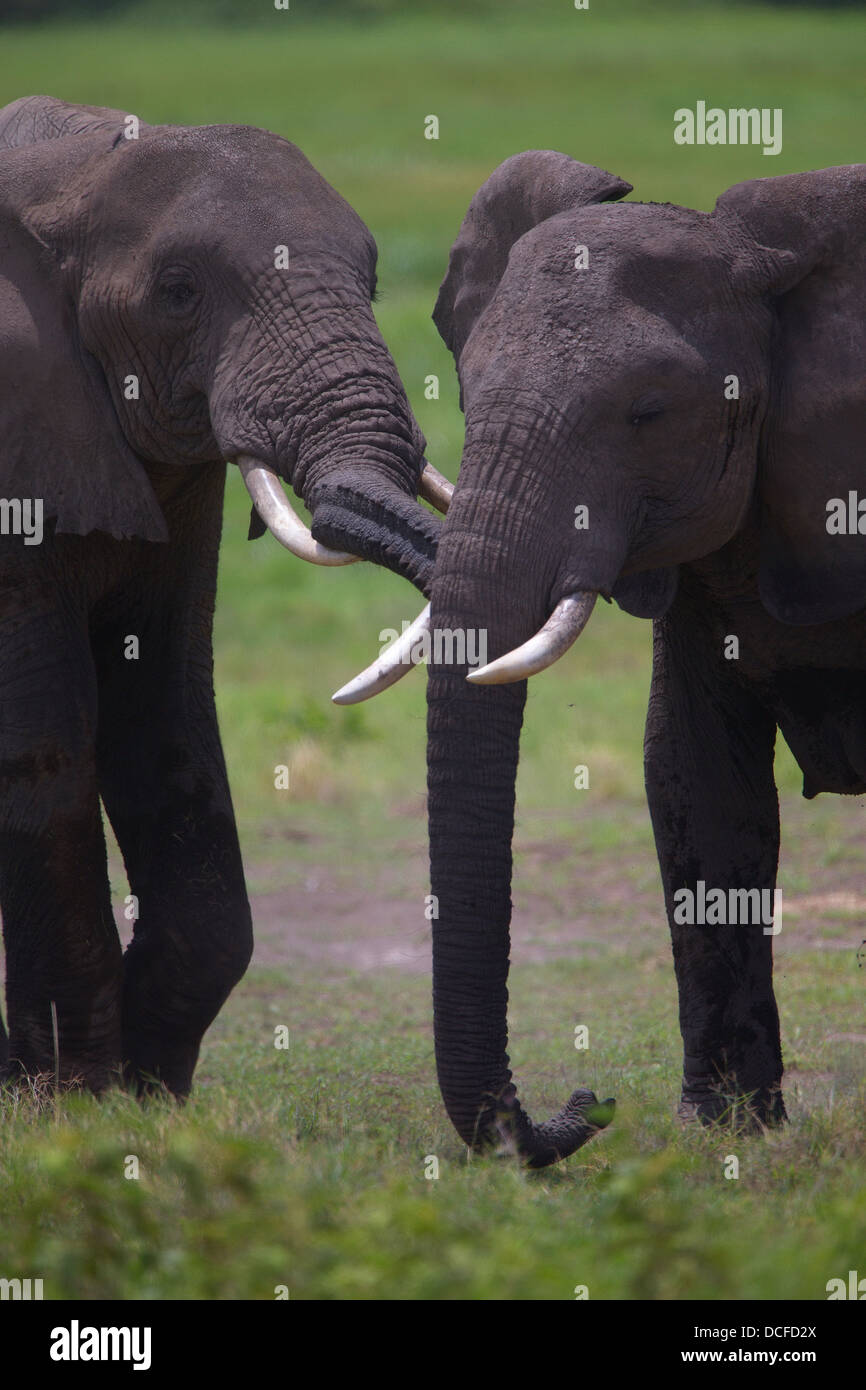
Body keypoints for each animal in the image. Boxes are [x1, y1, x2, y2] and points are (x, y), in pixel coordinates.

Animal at [0, 95, 447, 1095]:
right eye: (178, 292)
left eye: (371, 277)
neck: (74, 166)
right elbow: (47, 741)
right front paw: (71, 1099)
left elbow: (165, 715)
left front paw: (146, 1095)